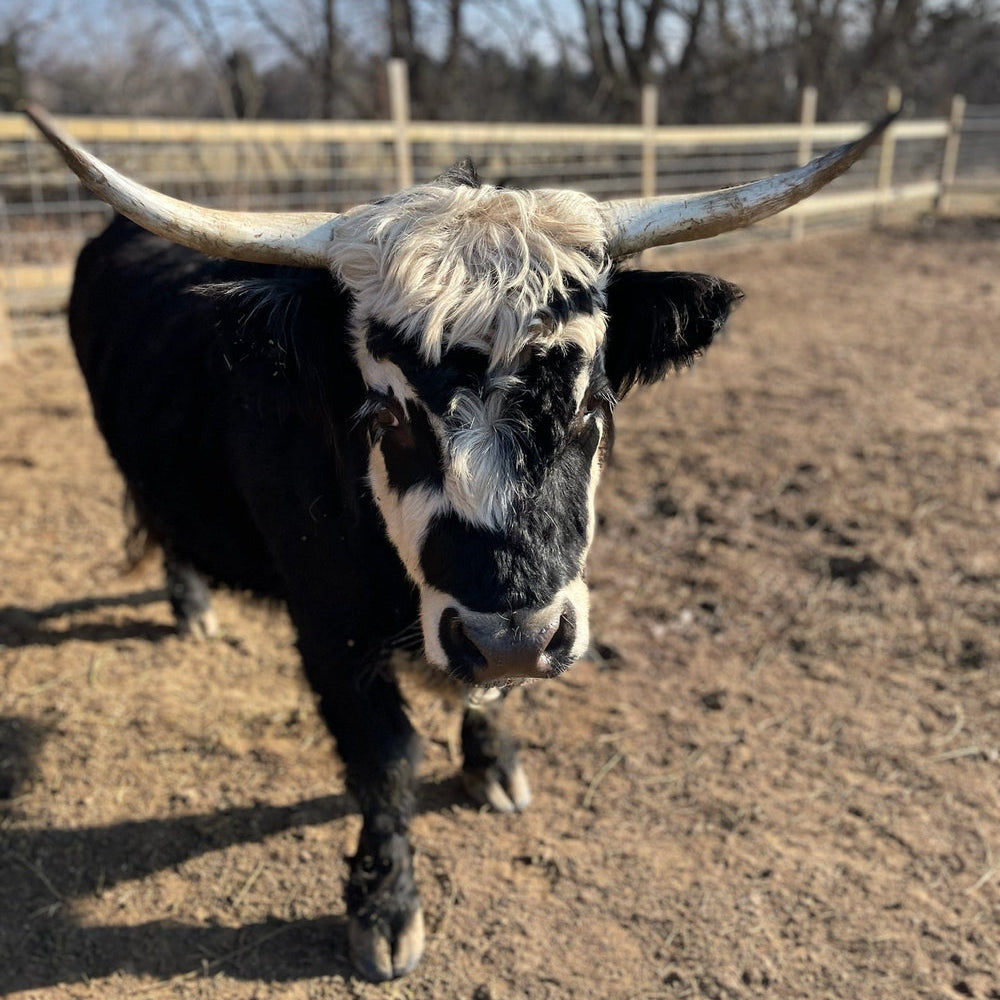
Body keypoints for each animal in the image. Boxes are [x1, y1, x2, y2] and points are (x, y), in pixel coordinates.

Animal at [27, 105, 891, 980]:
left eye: (591, 405)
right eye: (388, 415)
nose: (511, 636)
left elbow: (489, 698)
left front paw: (493, 765)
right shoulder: (329, 632)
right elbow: (385, 762)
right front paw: (384, 906)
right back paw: (192, 604)